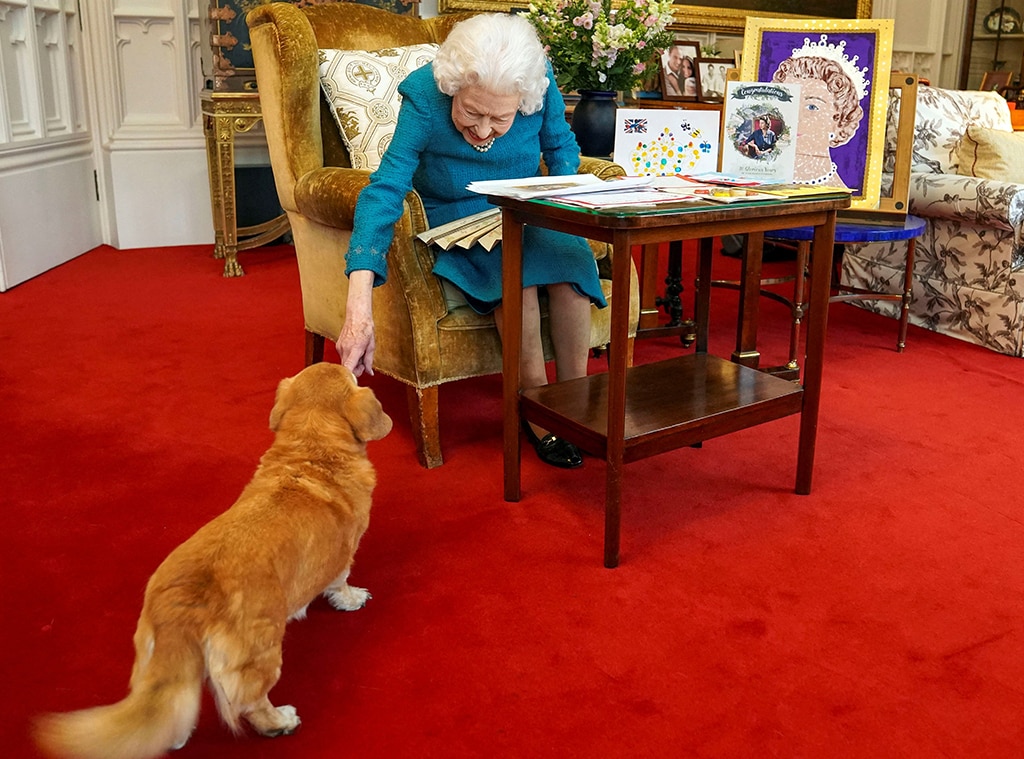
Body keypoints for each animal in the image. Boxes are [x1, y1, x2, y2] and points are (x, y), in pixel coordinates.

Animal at [35, 364, 391, 753]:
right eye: (351, 377)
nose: (354, 363)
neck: (310, 453)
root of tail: (183, 605)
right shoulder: (344, 555)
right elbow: (341, 582)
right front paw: (352, 599)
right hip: (261, 656)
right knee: (251, 704)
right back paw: (281, 721)